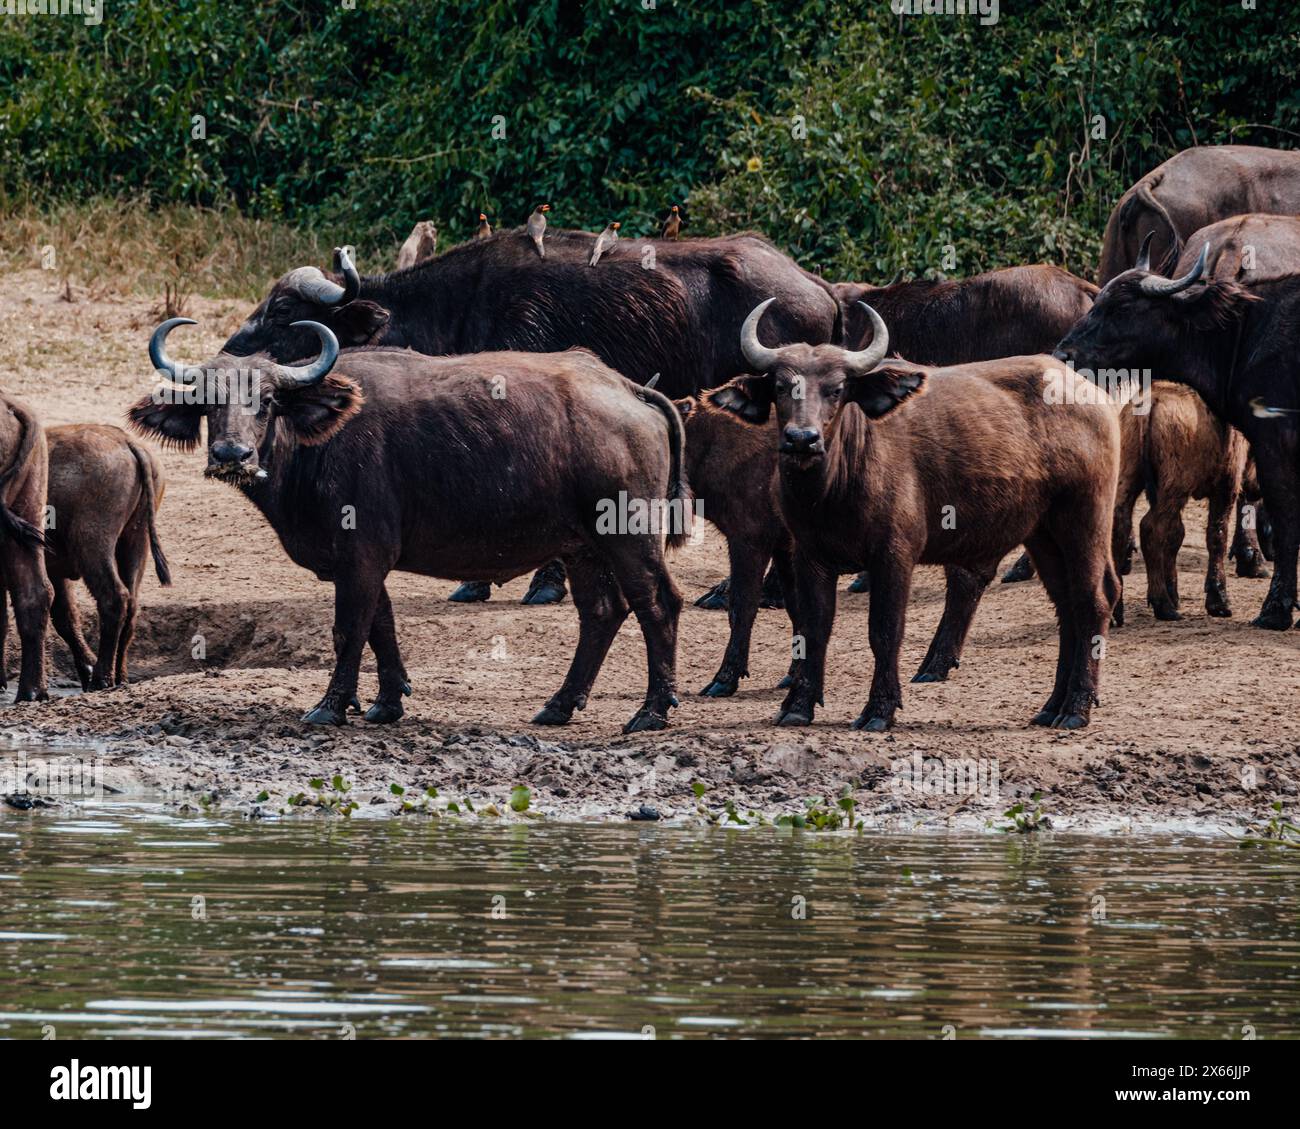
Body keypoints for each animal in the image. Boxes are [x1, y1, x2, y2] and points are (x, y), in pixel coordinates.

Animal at [129, 322, 691, 738]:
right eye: (207, 402)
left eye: (266, 401)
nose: (232, 455)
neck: (318, 444)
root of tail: (628, 389)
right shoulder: (358, 560)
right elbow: (381, 625)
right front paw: (385, 702)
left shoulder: (362, 555)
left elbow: (349, 629)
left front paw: (330, 706)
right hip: (582, 548)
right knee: (602, 612)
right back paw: (560, 704)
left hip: (629, 534)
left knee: (657, 604)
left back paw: (651, 711)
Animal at [712, 300, 1118, 733]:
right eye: (780, 387)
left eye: (837, 389)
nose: (801, 439)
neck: (831, 492)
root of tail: (1090, 395)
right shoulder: (808, 555)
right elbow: (813, 629)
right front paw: (797, 705)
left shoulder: (893, 555)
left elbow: (885, 632)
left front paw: (879, 709)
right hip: (1043, 533)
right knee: (1066, 607)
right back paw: (1051, 705)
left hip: (1084, 519)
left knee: (1092, 601)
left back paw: (1077, 707)